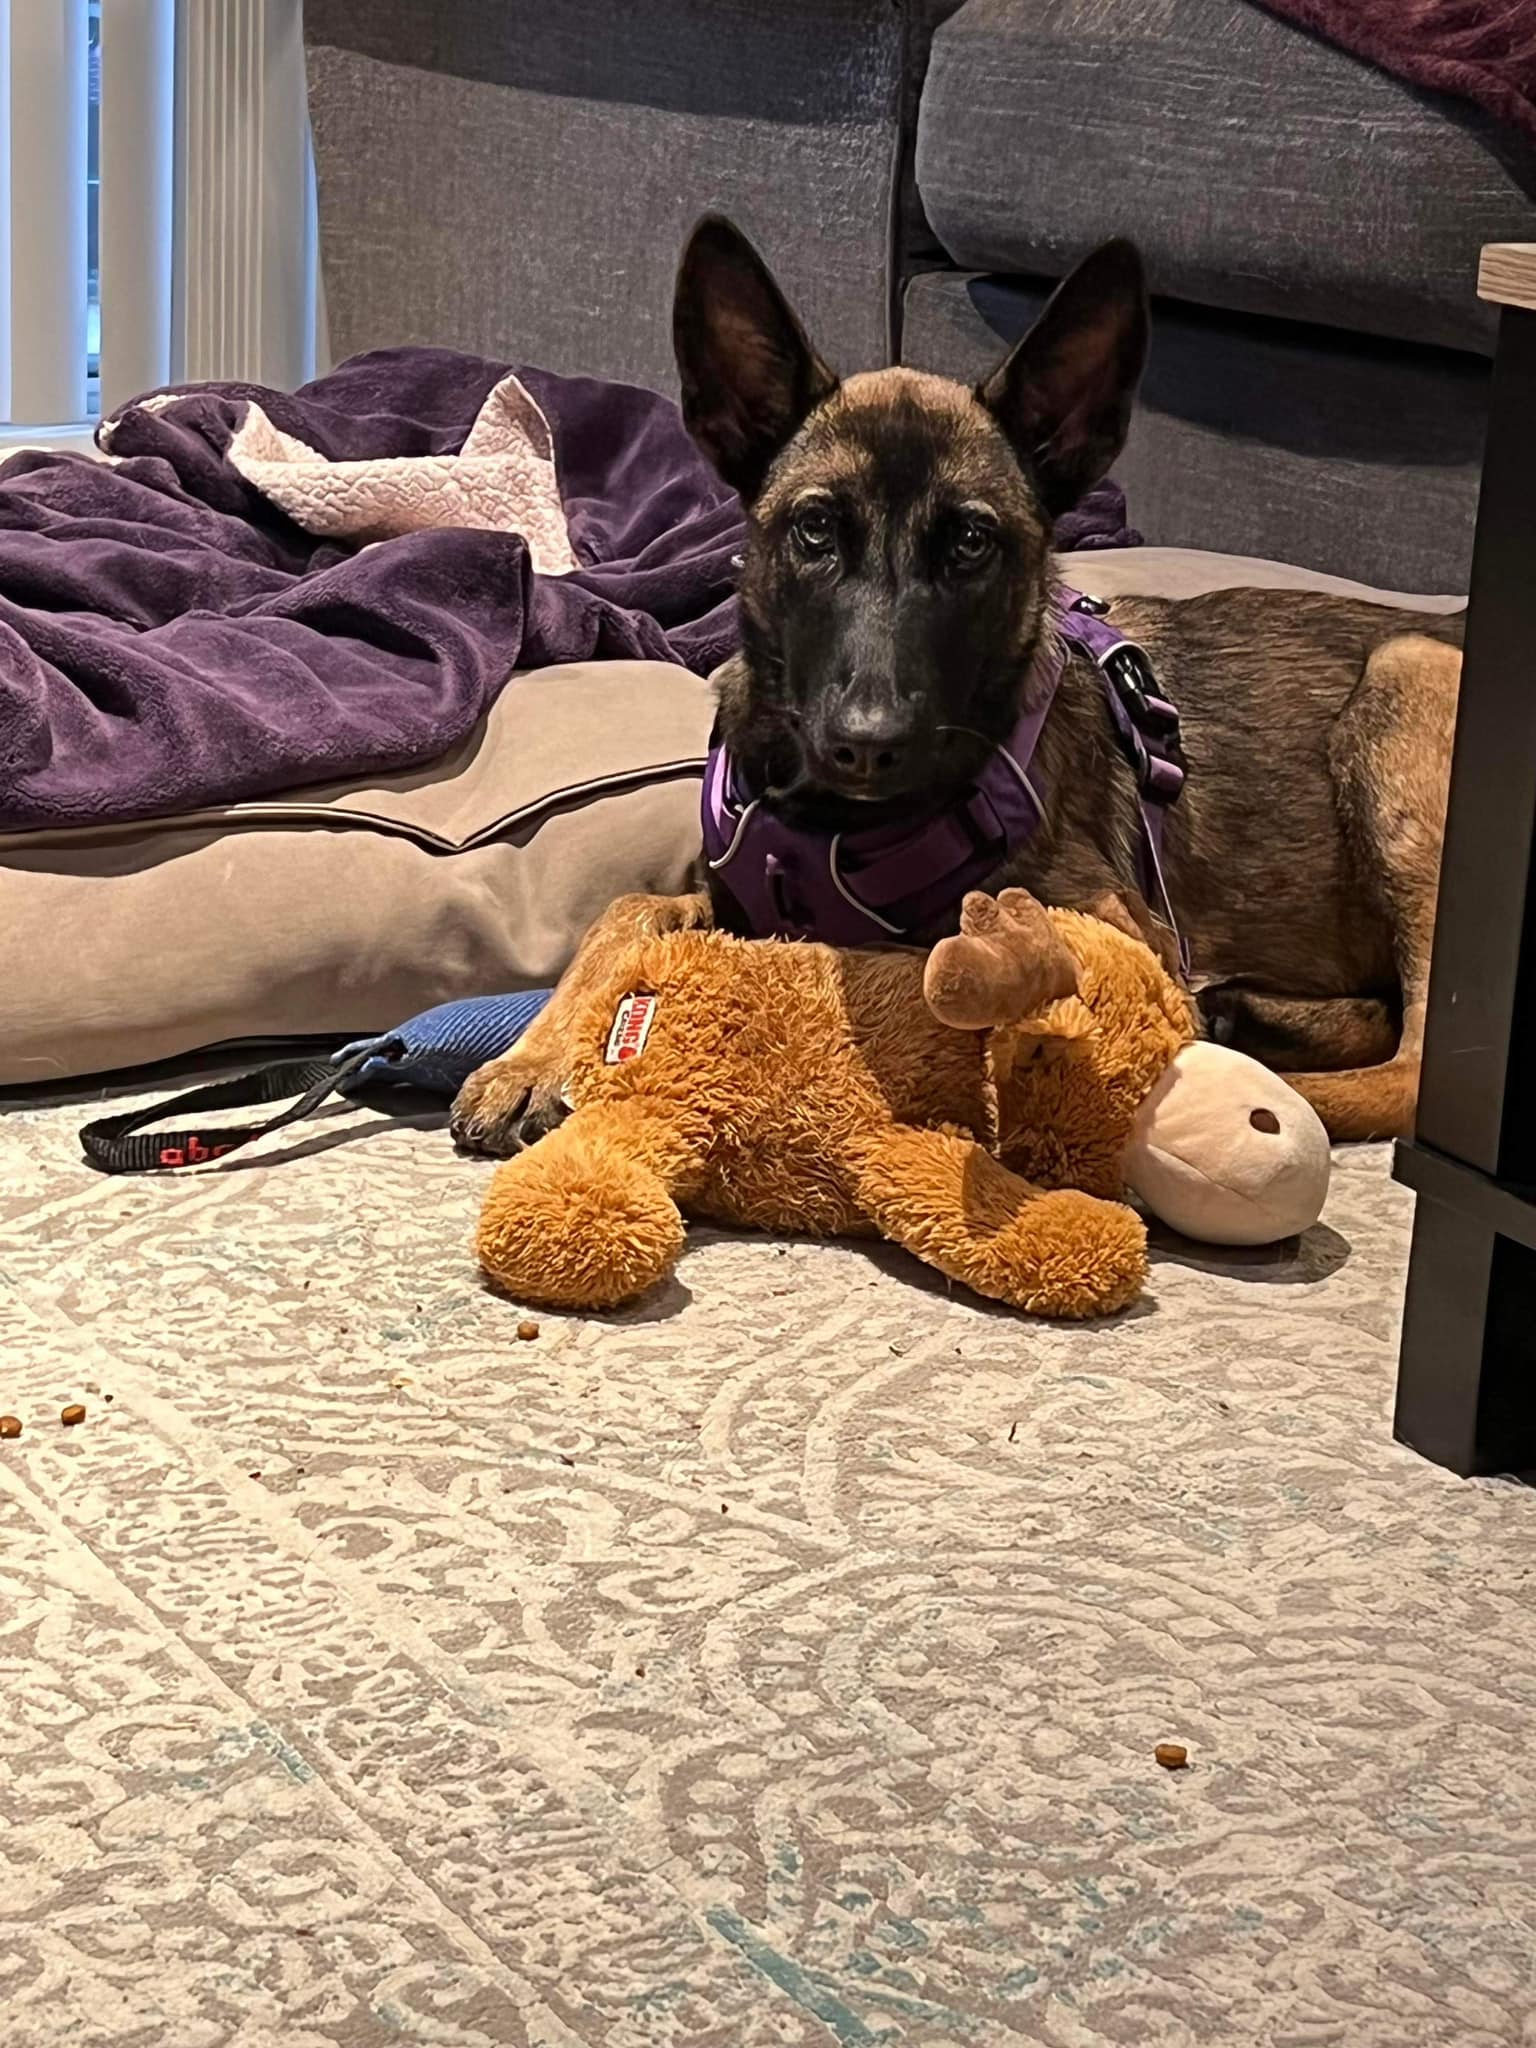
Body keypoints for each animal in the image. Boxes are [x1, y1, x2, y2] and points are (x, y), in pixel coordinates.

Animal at [454, 216, 1466, 1163]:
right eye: (815, 529)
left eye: (972, 544)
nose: (866, 744)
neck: (834, 830)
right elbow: (629, 909)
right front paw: (529, 1058)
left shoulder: (1115, 927)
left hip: (1407, 677)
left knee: (1410, 1077)